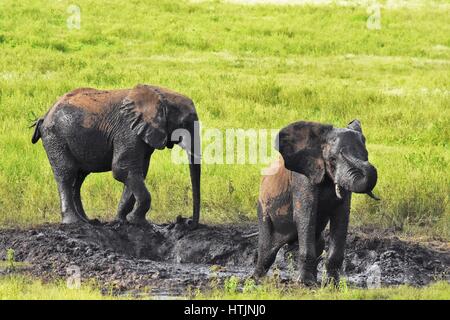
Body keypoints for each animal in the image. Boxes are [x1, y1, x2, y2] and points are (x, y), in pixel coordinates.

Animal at [31, 82, 200, 228]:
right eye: (184, 123)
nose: (186, 220)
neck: (159, 94)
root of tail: (44, 116)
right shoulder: (128, 131)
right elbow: (123, 169)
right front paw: (138, 221)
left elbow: (137, 172)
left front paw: (122, 221)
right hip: (55, 138)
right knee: (66, 174)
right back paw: (74, 222)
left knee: (78, 179)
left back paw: (88, 221)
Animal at [255, 119, 378, 284]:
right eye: (332, 159)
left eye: (366, 155)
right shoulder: (303, 178)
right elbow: (306, 216)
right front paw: (305, 284)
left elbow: (341, 217)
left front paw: (333, 285)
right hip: (263, 209)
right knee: (266, 251)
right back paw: (256, 280)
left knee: (319, 243)